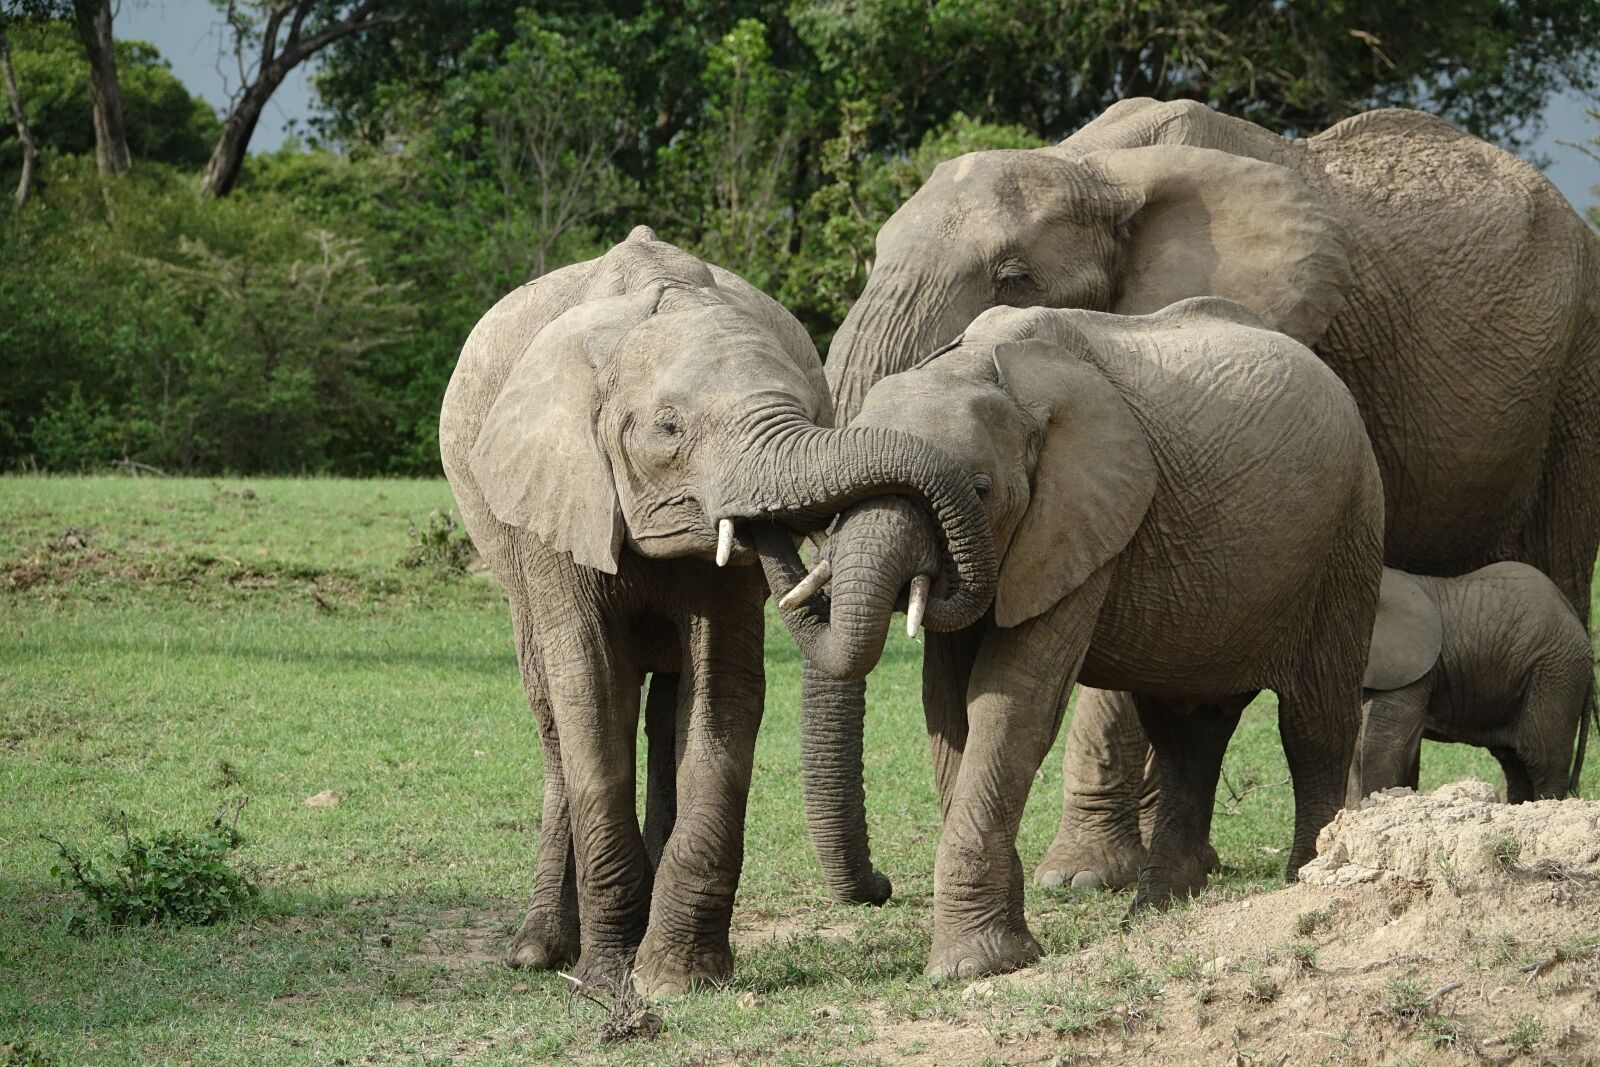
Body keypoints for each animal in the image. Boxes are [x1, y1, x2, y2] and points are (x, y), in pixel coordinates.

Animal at [438, 226, 996, 995]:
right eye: (668, 429)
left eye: (811, 413)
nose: (884, 887)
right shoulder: (556, 499)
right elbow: (589, 685)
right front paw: (607, 981)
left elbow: (725, 689)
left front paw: (676, 979)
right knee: (551, 706)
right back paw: (538, 951)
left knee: (667, 708)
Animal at [760, 298, 1387, 979]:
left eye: (981, 490)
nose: (881, 889)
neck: (981, 369)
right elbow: (949, 708)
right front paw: (1003, 953)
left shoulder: (1079, 523)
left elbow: (1010, 702)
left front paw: (974, 967)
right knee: (1187, 730)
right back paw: (1156, 911)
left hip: (1350, 533)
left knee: (1312, 720)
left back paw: (1306, 877)